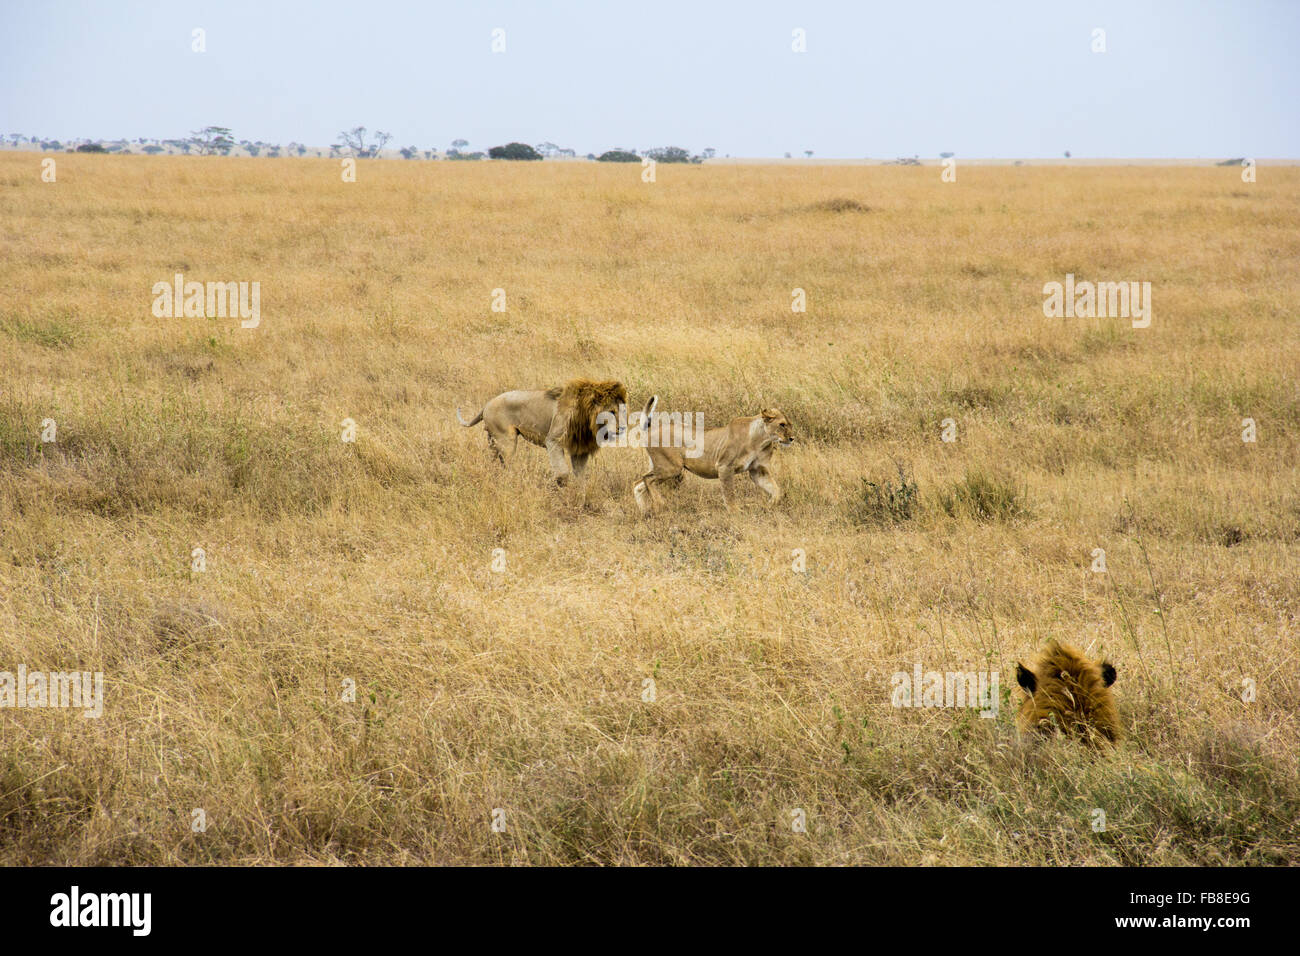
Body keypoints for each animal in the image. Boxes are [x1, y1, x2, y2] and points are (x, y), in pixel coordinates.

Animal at [456, 378, 628, 487]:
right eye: (611, 412)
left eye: (623, 411)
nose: (623, 428)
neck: (588, 420)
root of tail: (487, 404)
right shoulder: (553, 440)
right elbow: (563, 471)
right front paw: (557, 484)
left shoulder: (580, 447)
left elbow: (579, 474)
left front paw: (580, 492)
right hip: (506, 440)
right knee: (507, 464)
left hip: (493, 440)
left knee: (493, 460)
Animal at [632, 399, 795, 512]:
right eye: (782, 424)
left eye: (790, 424)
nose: (792, 438)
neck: (761, 439)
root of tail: (651, 428)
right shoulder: (725, 466)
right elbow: (729, 493)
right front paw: (735, 512)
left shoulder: (758, 470)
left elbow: (776, 490)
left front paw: (770, 505)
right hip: (671, 467)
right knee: (647, 479)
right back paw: (660, 503)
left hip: (661, 466)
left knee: (638, 484)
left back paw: (645, 511)